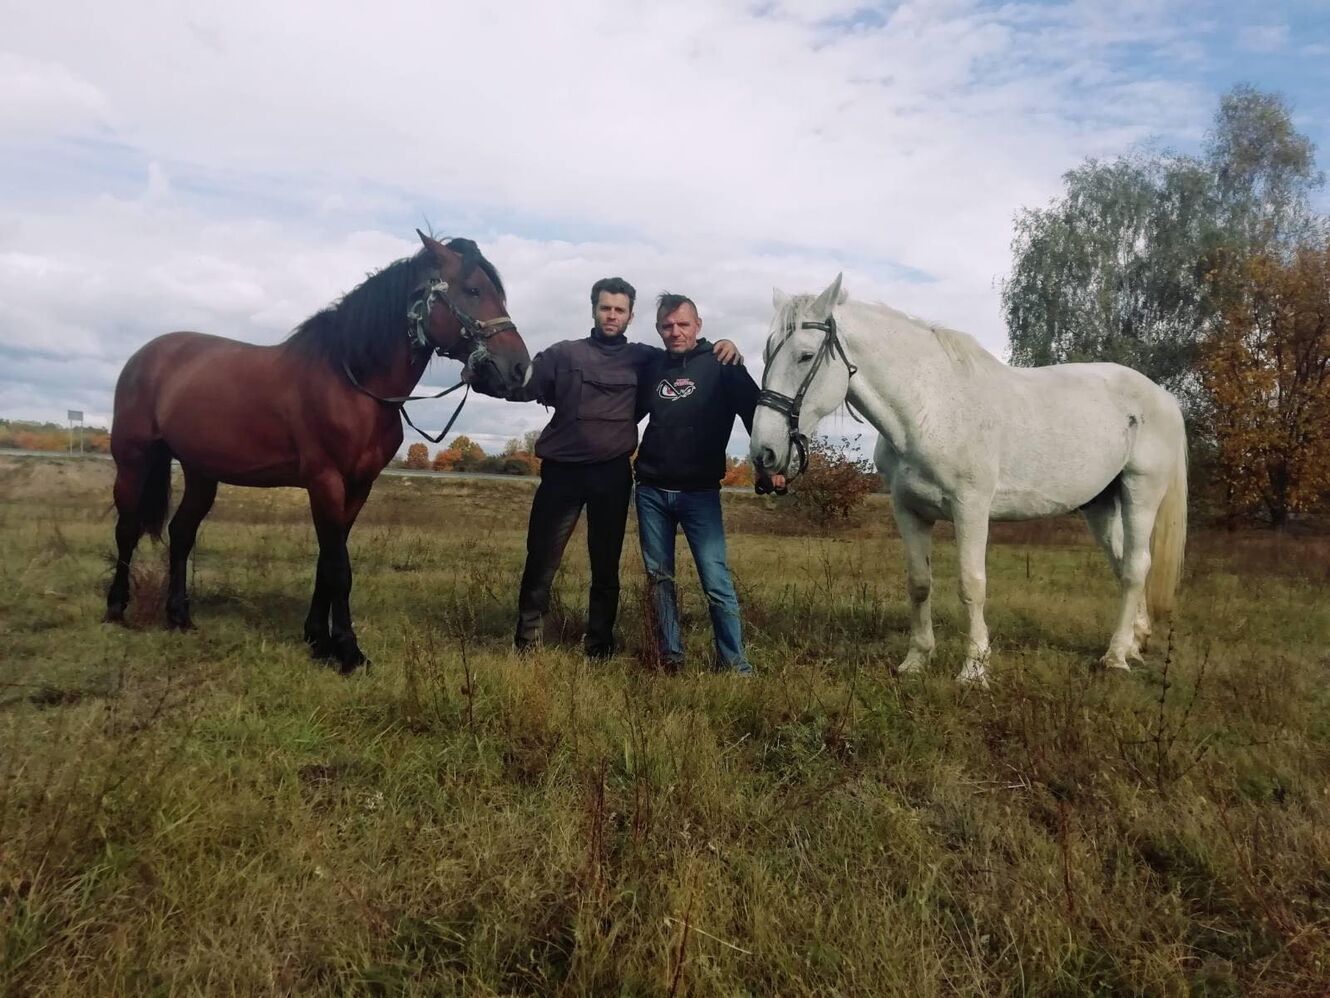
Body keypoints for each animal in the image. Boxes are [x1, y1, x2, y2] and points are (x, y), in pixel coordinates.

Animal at [105, 231, 531, 672]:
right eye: (473, 290)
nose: (519, 368)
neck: (354, 382)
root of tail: (148, 354)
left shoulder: (358, 486)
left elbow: (328, 561)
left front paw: (318, 639)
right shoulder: (325, 481)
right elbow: (338, 567)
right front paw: (348, 651)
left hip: (201, 473)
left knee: (181, 533)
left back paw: (179, 616)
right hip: (133, 461)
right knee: (127, 529)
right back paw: (116, 608)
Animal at [750, 274, 1187, 686]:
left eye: (806, 355)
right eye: (767, 353)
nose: (764, 452)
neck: (929, 409)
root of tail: (1163, 397)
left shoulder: (971, 509)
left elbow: (971, 585)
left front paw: (974, 669)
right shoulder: (908, 510)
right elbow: (919, 583)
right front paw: (916, 660)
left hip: (1140, 493)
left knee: (1135, 567)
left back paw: (1115, 657)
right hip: (1099, 505)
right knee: (1123, 564)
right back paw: (1133, 644)